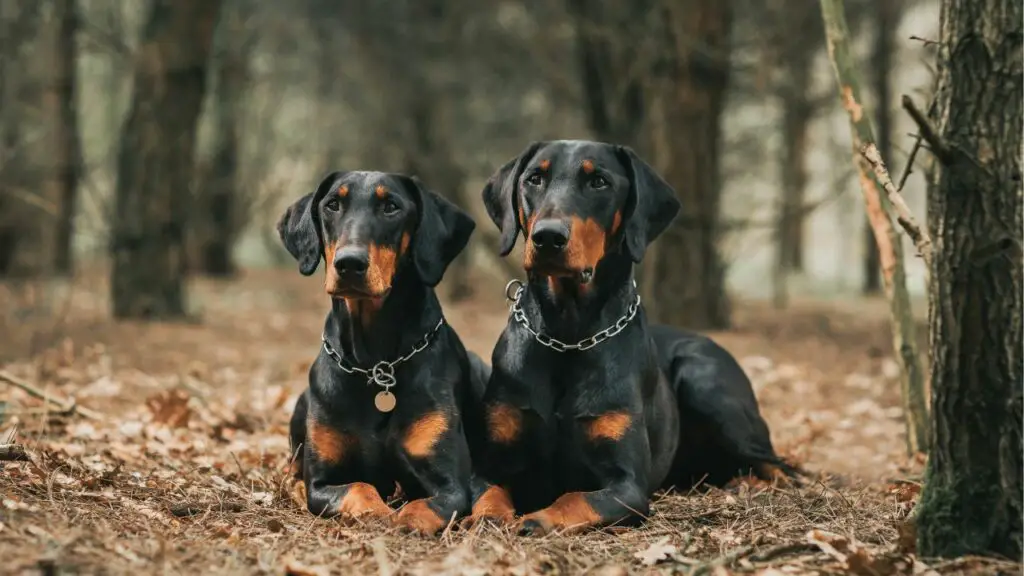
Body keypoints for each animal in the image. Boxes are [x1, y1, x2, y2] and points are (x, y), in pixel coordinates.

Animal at [278, 169, 485, 532]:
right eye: (332, 204)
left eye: (391, 206)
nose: (349, 263)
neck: (377, 363)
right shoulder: (322, 481)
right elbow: (357, 486)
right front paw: (378, 511)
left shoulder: (451, 485)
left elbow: (425, 506)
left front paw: (402, 517)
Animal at [468, 139, 794, 532]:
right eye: (534, 178)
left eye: (599, 182)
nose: (547, 236)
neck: (568, 334)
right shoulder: (491, 460)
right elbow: (488, 493)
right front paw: (489, 518)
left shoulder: (628, 485)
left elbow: (574, 497)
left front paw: (537, 520)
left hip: (705, 380)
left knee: (777, 464)